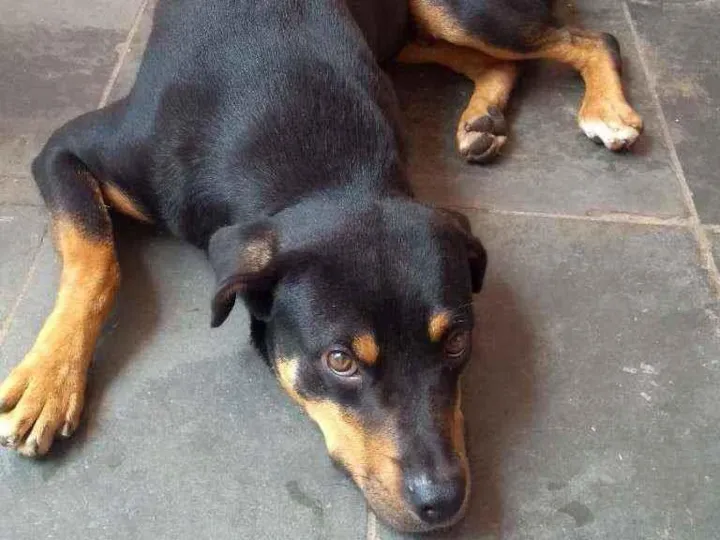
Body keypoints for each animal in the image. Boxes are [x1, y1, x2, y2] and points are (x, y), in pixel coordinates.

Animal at [0, 0, 642, 533]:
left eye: (458, 340)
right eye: (339, 361)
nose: (442, 502)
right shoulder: (63, 149)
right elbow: (97, 258)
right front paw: (49, 380)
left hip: (463, 12)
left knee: (590, 38)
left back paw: (606, 109)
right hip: (416, 33)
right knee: (500, 59)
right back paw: (483, 118)